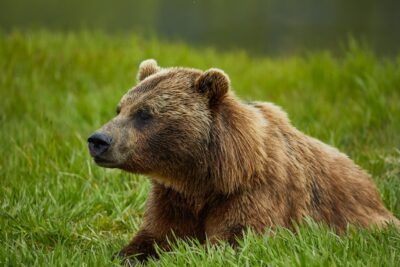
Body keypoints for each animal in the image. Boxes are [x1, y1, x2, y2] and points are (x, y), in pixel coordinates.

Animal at [88, 59, 400, 264]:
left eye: (144, 113)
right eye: (120, 108)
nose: (98, 140)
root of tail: (372, 186)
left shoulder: (252, 193)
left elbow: (234, 240)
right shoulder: (173, 195)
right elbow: (158, 233)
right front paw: (127, 254)